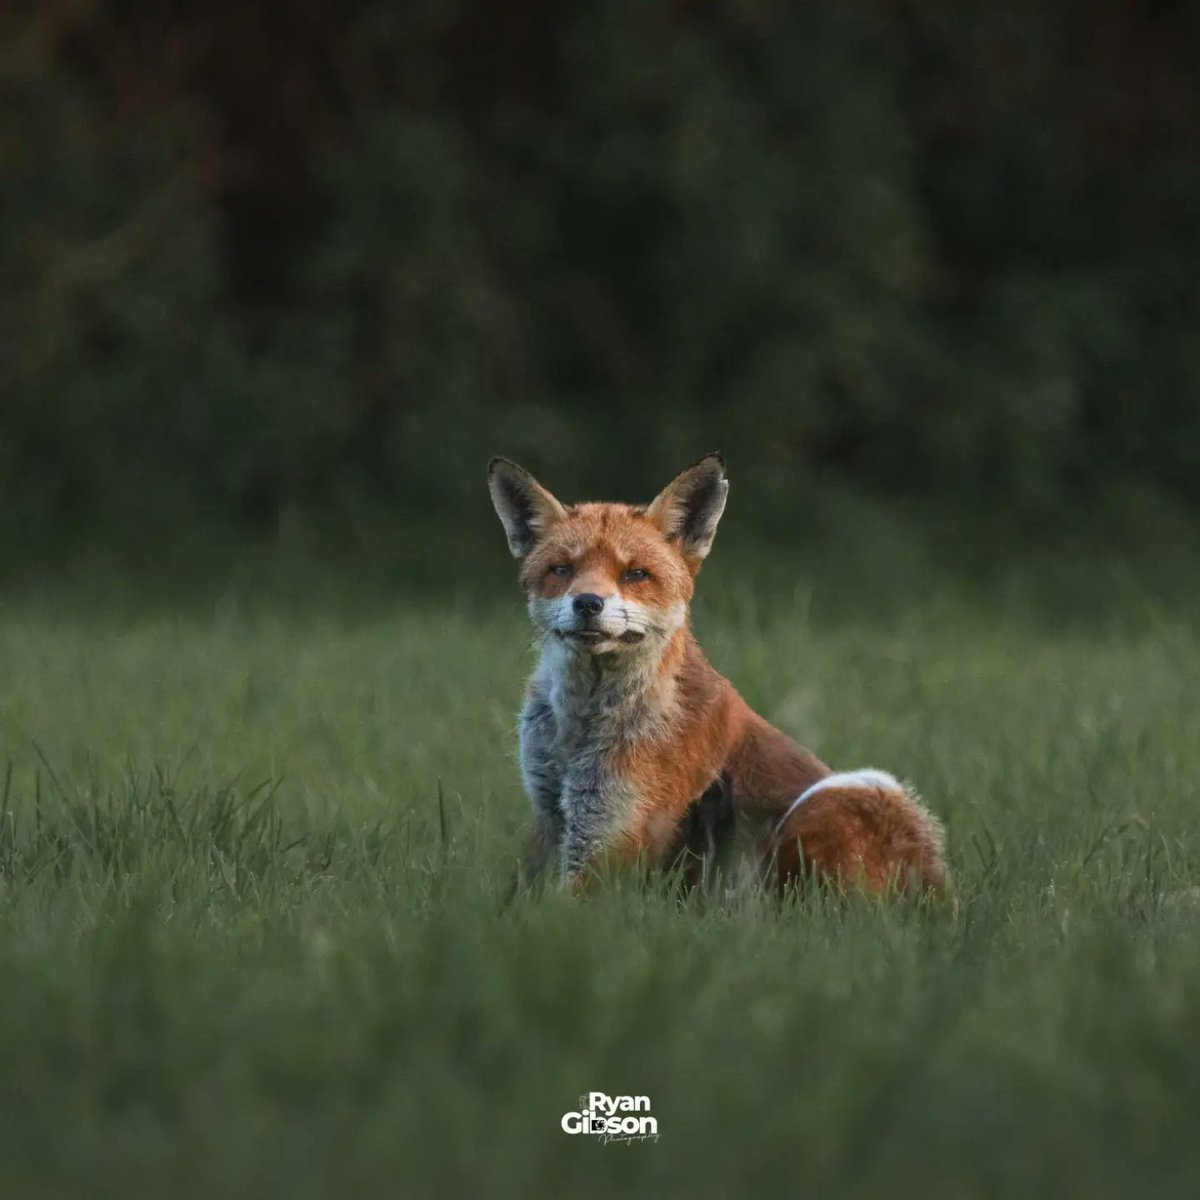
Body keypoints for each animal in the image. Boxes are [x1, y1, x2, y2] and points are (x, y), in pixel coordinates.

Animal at [488, 452, 948, 898]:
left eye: (635, 574)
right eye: (561, 570)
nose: (587, 602)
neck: (579, 728)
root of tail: (944, 897)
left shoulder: (613, 835)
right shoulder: (550, 816)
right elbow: (513, 900)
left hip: (849, 789)